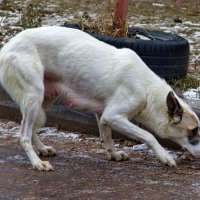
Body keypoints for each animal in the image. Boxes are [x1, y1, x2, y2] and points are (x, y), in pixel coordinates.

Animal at [0, 26, 200, 170]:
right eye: (193, 132)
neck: (147, 89)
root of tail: (7, 47)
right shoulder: (114, 116)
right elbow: (149, 136)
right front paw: (164, 156)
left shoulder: (103, 116)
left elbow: (107, 137)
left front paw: (114, 155)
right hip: (35, 97)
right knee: (23, 135)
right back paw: (36, 162)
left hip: (45, 99)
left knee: (29, 128)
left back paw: (42, 149)